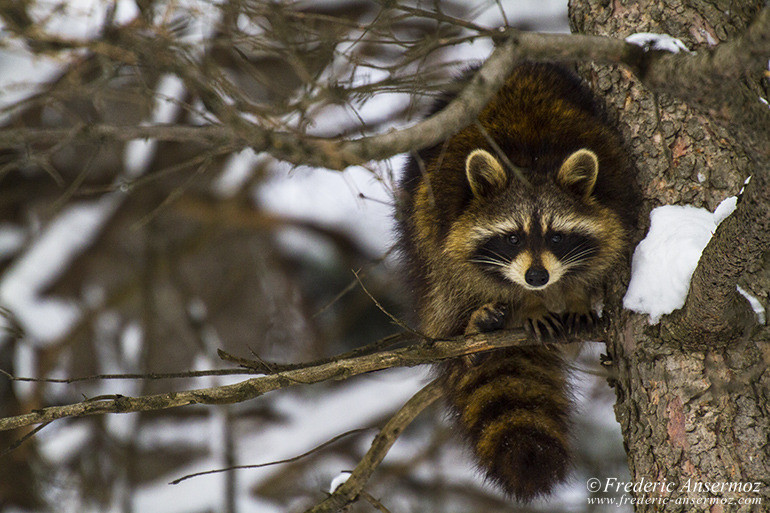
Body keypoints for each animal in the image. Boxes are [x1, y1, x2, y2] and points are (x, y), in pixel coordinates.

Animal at [392, 63, 632, 500]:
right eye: (513, 238)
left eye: (557, 237)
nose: (537, 277)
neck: (530, 161)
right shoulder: (445, 215)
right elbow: (465, 270)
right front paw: (530, 304)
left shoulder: (618, 188)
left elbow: (606, 254)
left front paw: (575, 296)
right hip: (418, 223)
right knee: (441, 284)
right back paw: (472, 330)